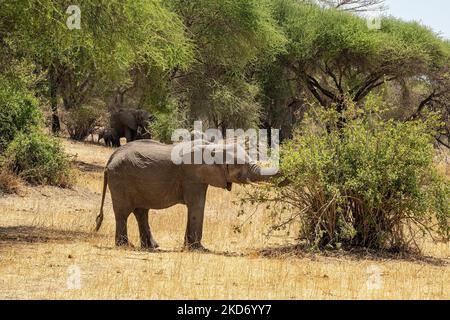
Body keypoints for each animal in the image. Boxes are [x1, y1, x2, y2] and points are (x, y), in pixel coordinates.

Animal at [96, 139, 276, 250]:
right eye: (238, 166)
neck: (214, 147)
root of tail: (110, 159)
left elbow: (195, 207)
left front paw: (188, 247)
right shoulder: (192, 177)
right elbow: (197, 206)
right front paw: (199, 249)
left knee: (141, 212)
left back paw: (152, 246)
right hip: (120, 180)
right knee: (123, 213)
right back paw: (126, 246)